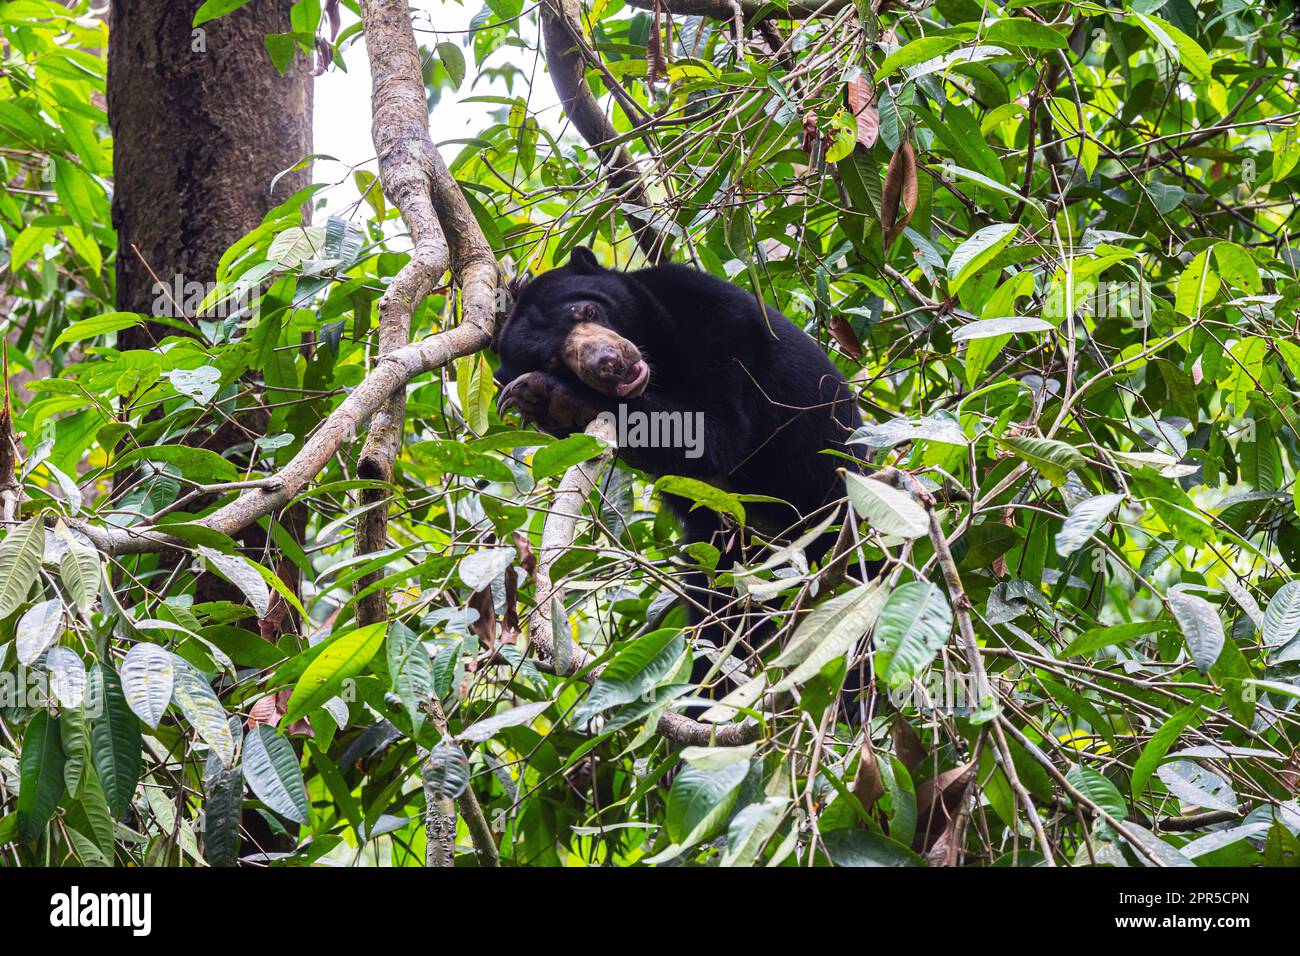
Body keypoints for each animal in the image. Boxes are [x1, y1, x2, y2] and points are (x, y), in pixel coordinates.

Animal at [491, 247, 868, 707]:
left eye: (587, 310)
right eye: (555, 359)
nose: (608, 363)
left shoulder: (720, 322)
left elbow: (718, 433)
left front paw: (552, 396)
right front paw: (545, 401)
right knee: (718, 607)